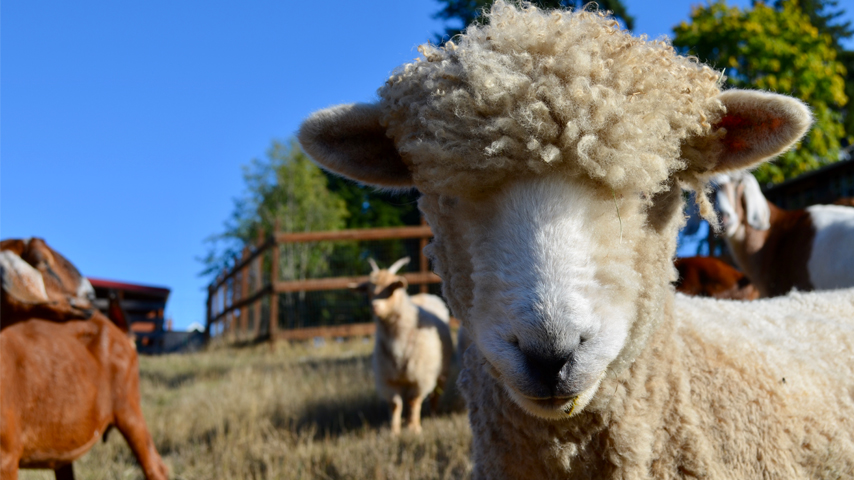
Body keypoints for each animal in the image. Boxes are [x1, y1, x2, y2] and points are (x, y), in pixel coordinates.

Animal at [352, 258, 454, 436]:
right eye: (369, 291)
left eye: (391, 289)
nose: (375, 306)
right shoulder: (388, 378)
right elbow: (395, 404)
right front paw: (394, 431)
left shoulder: (420, 377)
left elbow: (413, 401)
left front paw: (413, 428)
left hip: (441, 371)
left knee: (435, 395)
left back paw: (432, 414)